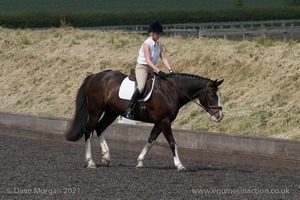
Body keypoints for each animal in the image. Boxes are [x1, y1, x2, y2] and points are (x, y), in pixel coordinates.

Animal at [64, 70, 224, 170]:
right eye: (212, 95)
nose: (219, 116)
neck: (172, 91)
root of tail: (95, 76)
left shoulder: (160, 122)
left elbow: (151, 140)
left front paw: (140, 162)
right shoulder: (164, 121)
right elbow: (172, 142)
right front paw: (179, 165)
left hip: (112, 112)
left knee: (99, 128)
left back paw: (106, 157)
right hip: (95, 111)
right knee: (88, 131)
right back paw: (91, 162)